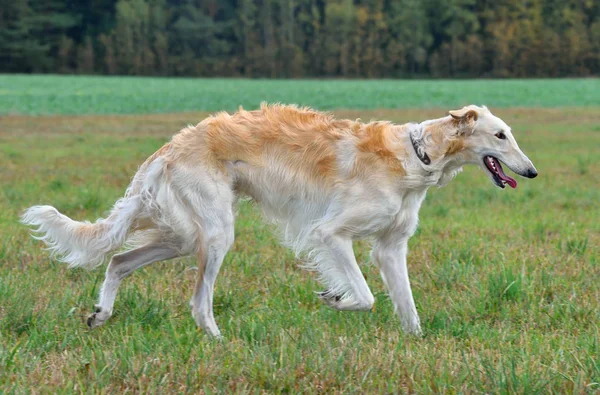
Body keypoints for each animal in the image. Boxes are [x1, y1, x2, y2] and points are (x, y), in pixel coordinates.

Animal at [23, 104, 540, 338]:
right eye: (500, 135)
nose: (532, 171)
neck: (417, 155)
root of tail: (171, 146)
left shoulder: (391, 247)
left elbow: (406, 307)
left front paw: (416, 342)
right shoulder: (330, 233)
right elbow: (366, 296)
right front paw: (335, 297)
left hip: (183, 235)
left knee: (119, 261)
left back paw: (101, 313)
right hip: (214, 234)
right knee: (198, 302)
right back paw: (219, 339)